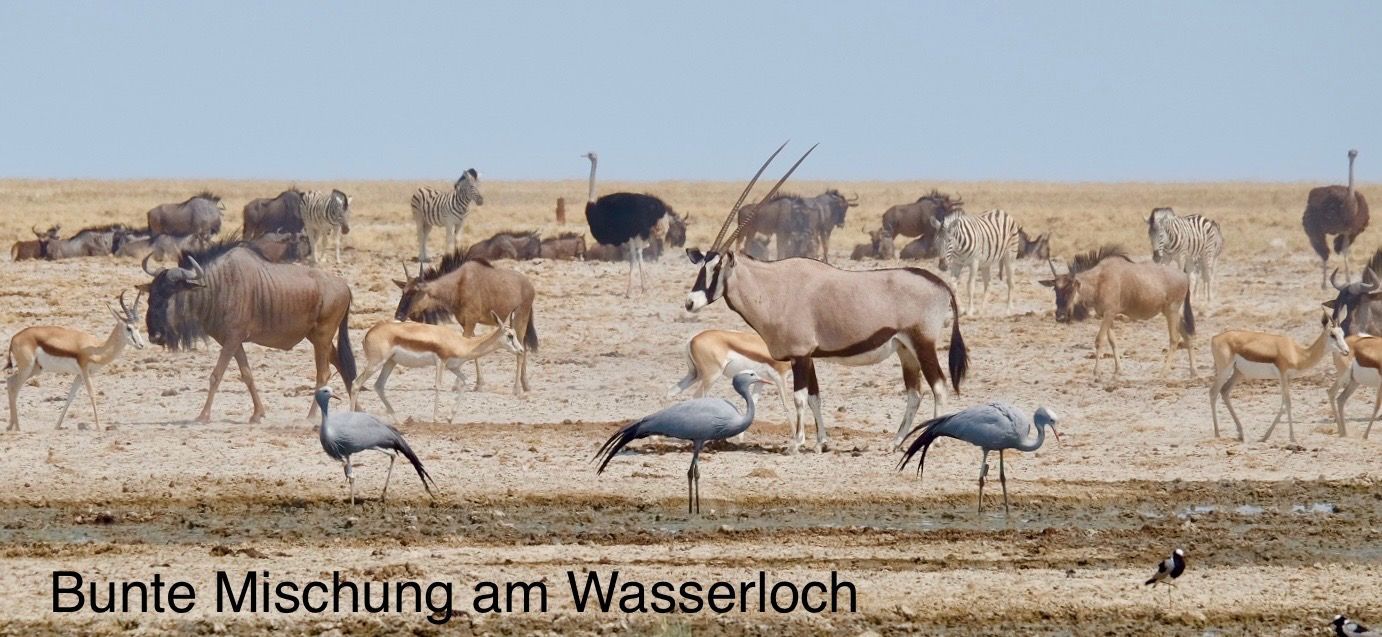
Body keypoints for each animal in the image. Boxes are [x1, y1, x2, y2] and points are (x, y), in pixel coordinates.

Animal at [6, 290, 143, 428]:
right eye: (129, 328)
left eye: (138, 326)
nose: (141, 345)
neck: (97, 349)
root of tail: (14, 338)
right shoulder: (85, 371)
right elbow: (92, 394)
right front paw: (99, 427)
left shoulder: (79, 375)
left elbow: (70, 396)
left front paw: (57, 426)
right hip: (27, 368)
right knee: (14, 388)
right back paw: (17, 428)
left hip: (35, 369)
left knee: (10, 382)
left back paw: (11, 426)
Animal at [351, 312, 522, 422]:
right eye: (510, 335)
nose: (521, 350)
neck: (462, 343)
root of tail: (370, 332)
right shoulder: (441, 362)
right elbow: (438, 386)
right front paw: (436, 418)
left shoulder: (454, 367)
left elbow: (465, 382)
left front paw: (450, 417)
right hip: (376, 363)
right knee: (356, 383)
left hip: (390, 362)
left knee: (379, 386)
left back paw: (397, 420)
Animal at [663, 327, 807, 447]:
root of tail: (693, 339)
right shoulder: (780, 378)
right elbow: (787, 407)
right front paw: (797, 439)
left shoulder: (759, 382)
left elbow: (753, 403)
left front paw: (741, 439)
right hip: (711, 376)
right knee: (698, 396)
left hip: (694, 375)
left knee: (671, 391)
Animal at [685, 143, 967, 453]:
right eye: (701, 266)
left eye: (716, 268)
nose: (690, 302)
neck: (773, 288)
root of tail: (940, 284)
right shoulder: (808, 355)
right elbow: (814, 397)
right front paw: (821, 442)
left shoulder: (799, 356)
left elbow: (799, 397)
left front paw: (795, 444)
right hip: (905, 349)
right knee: (915, 393)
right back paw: (896, 441)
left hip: (923, 342)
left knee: (939, 387)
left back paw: (930, 441)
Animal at [1210, 312, 1348, 442]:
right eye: (1332, 334)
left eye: (1342, 333)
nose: (1346, 351)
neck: (1297, 354)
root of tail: (1215, 338)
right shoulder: (1282, 375)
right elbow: (1288, 403)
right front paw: (1292, 437)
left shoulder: (1287, 378)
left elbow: (1283, 405)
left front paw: (1265, 437)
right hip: (1224, 370)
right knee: (1213, 392)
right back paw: (1217, 434)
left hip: (1238, 373)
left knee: (1224, 391)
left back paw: (1241, 433)